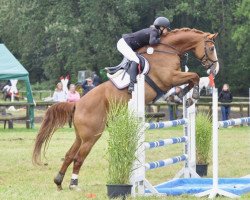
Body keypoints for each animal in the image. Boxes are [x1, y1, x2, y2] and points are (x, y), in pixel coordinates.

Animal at [32, 27, 219, 189]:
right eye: (211, 48)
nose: (215, 69)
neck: (168, 50)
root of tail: (77, 103)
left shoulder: (172, 80)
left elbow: (191, 79)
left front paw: (181, 96)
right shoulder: (169, 78)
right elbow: (194, 76)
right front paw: (192, 95)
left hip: (81, 136)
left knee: (70, 155)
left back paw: (59, 181)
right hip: (92, 135)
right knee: (78, 158)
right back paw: (73, 184)